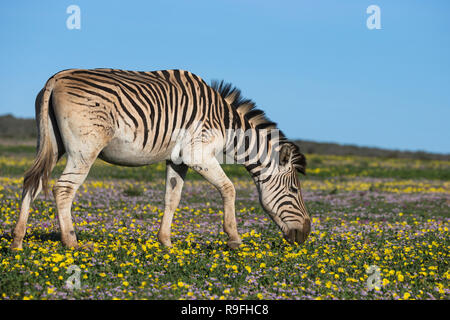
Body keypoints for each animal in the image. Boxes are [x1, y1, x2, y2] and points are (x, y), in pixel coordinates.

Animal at [11, 69, 312, 250]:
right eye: (293, 189)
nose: (306, 233)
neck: (226, 125)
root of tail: (57, 78)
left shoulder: (178, 159)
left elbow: (172, 198)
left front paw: (165, 242)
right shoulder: (198, 153)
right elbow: (229, 189)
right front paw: (234, 239)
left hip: (53, 144)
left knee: (32, 182)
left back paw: (17, 240)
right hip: (85, 149)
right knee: (63, 189)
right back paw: (71, 243)